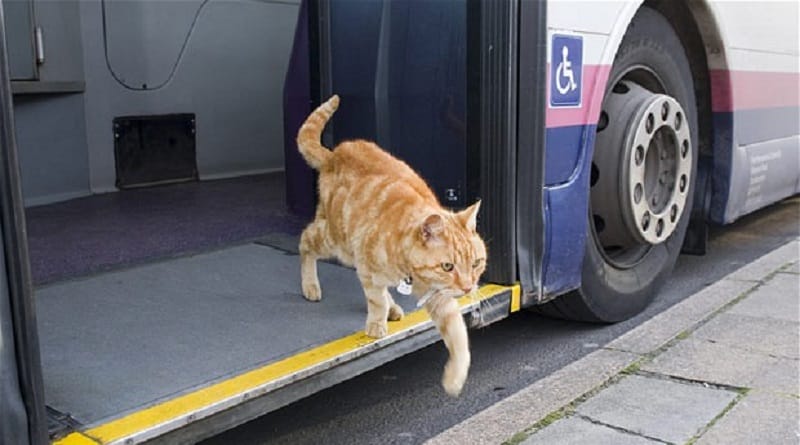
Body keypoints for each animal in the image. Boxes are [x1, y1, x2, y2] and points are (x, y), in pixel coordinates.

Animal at [296, 94, 484, 396]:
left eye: (476, 263)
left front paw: (455, 377)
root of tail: (334, 154)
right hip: (336, 241)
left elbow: (458, 335)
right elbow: (375, 299)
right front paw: (376, 322)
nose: (468, 288)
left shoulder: (439, 298)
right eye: (448, 266)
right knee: (305, 241)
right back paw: (310, 285)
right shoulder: (368, 266)